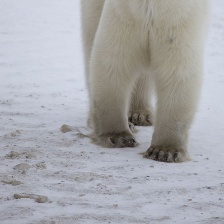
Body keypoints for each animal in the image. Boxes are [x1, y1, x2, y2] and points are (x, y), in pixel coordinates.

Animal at [81, 0, 211, 162]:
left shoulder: (178, 21)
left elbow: (176, 74)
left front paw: (165, 151)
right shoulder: (124, 15)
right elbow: (113, 64)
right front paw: (118, 137)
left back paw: (140, 115)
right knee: (91, 34)